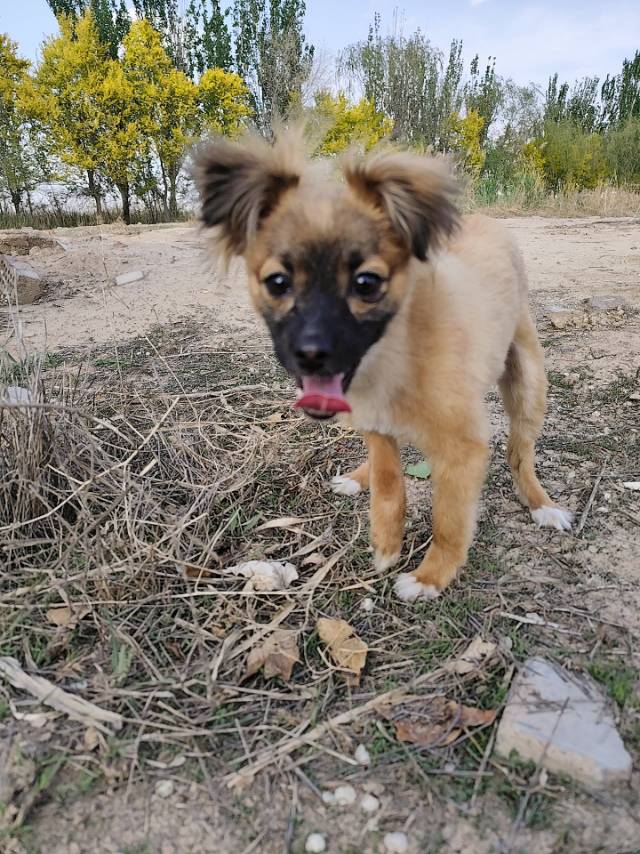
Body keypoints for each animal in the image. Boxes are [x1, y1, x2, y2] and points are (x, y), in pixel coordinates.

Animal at [194, 132, 568, 600]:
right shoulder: (375, 423)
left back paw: (541, 504)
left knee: (520, 453)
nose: (311, 353)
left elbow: (449, 520)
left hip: (528, 384)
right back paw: (359, 477)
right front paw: (387, 539)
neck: (394, 354)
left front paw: (431, 576)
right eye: (277, 282)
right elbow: (389, 481)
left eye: (366, 283)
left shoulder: (462, 450)